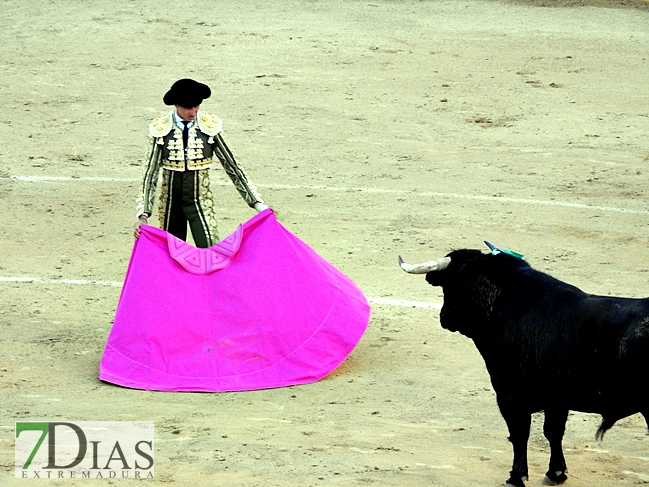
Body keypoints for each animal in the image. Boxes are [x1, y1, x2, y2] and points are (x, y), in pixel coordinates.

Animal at [400, 250, 648, 487]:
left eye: (449, 285)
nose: (444, 317)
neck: (500, 301)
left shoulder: (509, 394)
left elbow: (520, 434)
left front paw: (515, 477)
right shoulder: (556, 398)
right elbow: (553, 432)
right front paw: (556, 473)